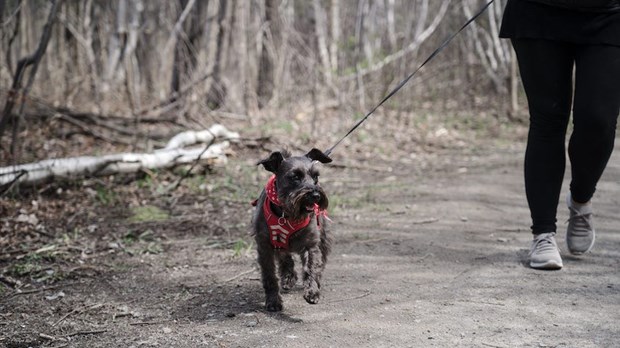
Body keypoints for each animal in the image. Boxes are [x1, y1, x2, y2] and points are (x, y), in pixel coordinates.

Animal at [251, 148, 334, 312]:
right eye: (295, 177)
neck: (287, 215)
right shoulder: (265, 247)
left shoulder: (311, 244)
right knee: (285, 256)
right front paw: (273, 301)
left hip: (323, 237)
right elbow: (270, 276)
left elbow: (311, 268)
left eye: (316, 176)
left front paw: (312, 292)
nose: (316, 195)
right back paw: (288, 278)